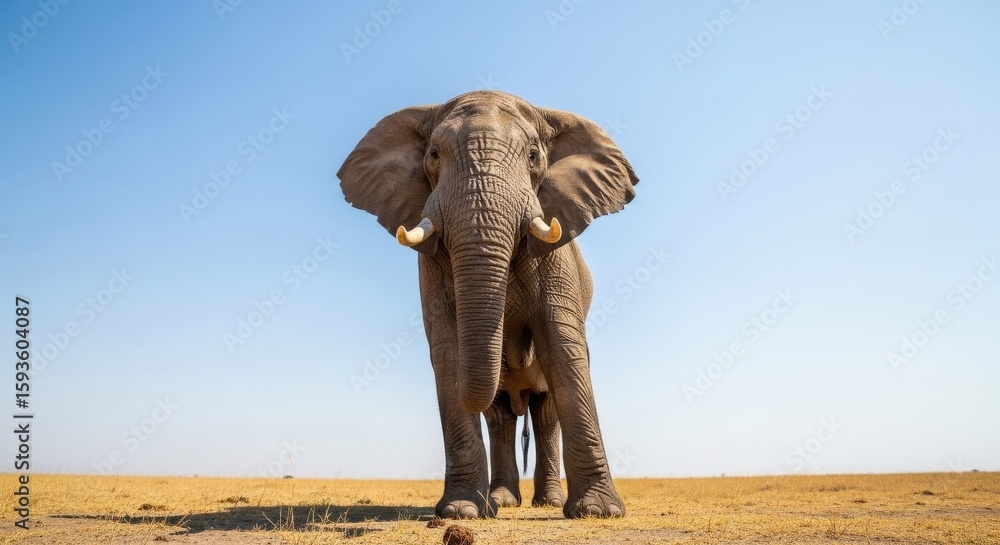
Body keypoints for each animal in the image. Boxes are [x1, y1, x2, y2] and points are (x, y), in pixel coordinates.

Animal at [337, 90, 638, 519]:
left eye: (533, 155)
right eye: (433, 155)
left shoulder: (556, 254)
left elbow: (563, 348)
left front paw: (597, 512)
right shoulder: (431, 263)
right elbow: (447, 349)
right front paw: (461, 511)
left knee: (545, 412)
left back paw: (546, 502)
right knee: (499, 416)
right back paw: (501, 501)